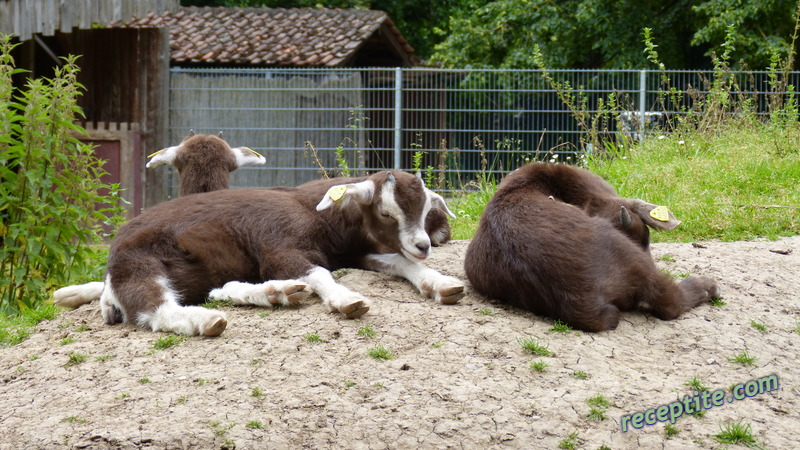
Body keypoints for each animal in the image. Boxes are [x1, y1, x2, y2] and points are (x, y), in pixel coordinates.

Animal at [69, 171, 466, 336]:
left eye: (426, 208)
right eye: (386, 213)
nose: (423, 245)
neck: (314, 211)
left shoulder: (356, 253)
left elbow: (400, 262)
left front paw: (440, 283)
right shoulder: (280, 247)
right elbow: (319, 273)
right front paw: (346, 299)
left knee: (220, 289)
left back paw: (278, 292)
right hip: (139, 264)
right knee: (153, 309)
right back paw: (206, 321)